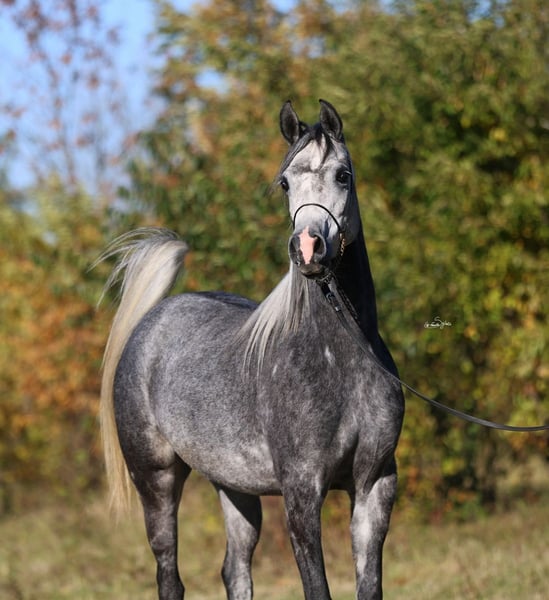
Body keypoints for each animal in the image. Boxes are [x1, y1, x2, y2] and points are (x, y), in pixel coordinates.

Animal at [99, 99, 404, 600]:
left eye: (343, 175)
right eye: (285, 183)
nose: (308, 248)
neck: (340, 361)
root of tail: (152, 321)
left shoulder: (374, 486)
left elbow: (370, 585)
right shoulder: (302, 493)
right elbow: (316, 587)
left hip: (234, 486)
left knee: (235, 570)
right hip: (156, 481)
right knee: (169, 575)